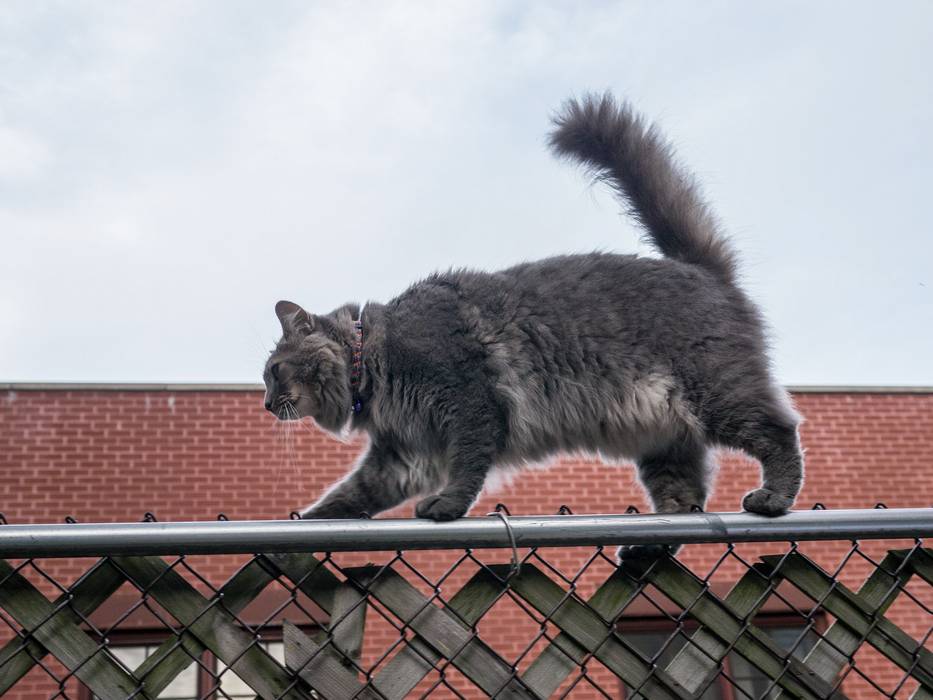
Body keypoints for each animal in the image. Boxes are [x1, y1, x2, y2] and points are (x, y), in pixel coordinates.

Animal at [262, 93, 800, 556]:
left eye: (273, 372)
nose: (267, 404)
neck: (374, 356)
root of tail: (700, 269)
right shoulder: (403, 455)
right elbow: (350, 494)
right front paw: (305, 527)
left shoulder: (469, 405)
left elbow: (467, 468)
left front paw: (446, 507)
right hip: (665, 438)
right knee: (682, 505)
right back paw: (645, 548)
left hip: (717, 393)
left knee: (779, 430)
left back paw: (773, 497)